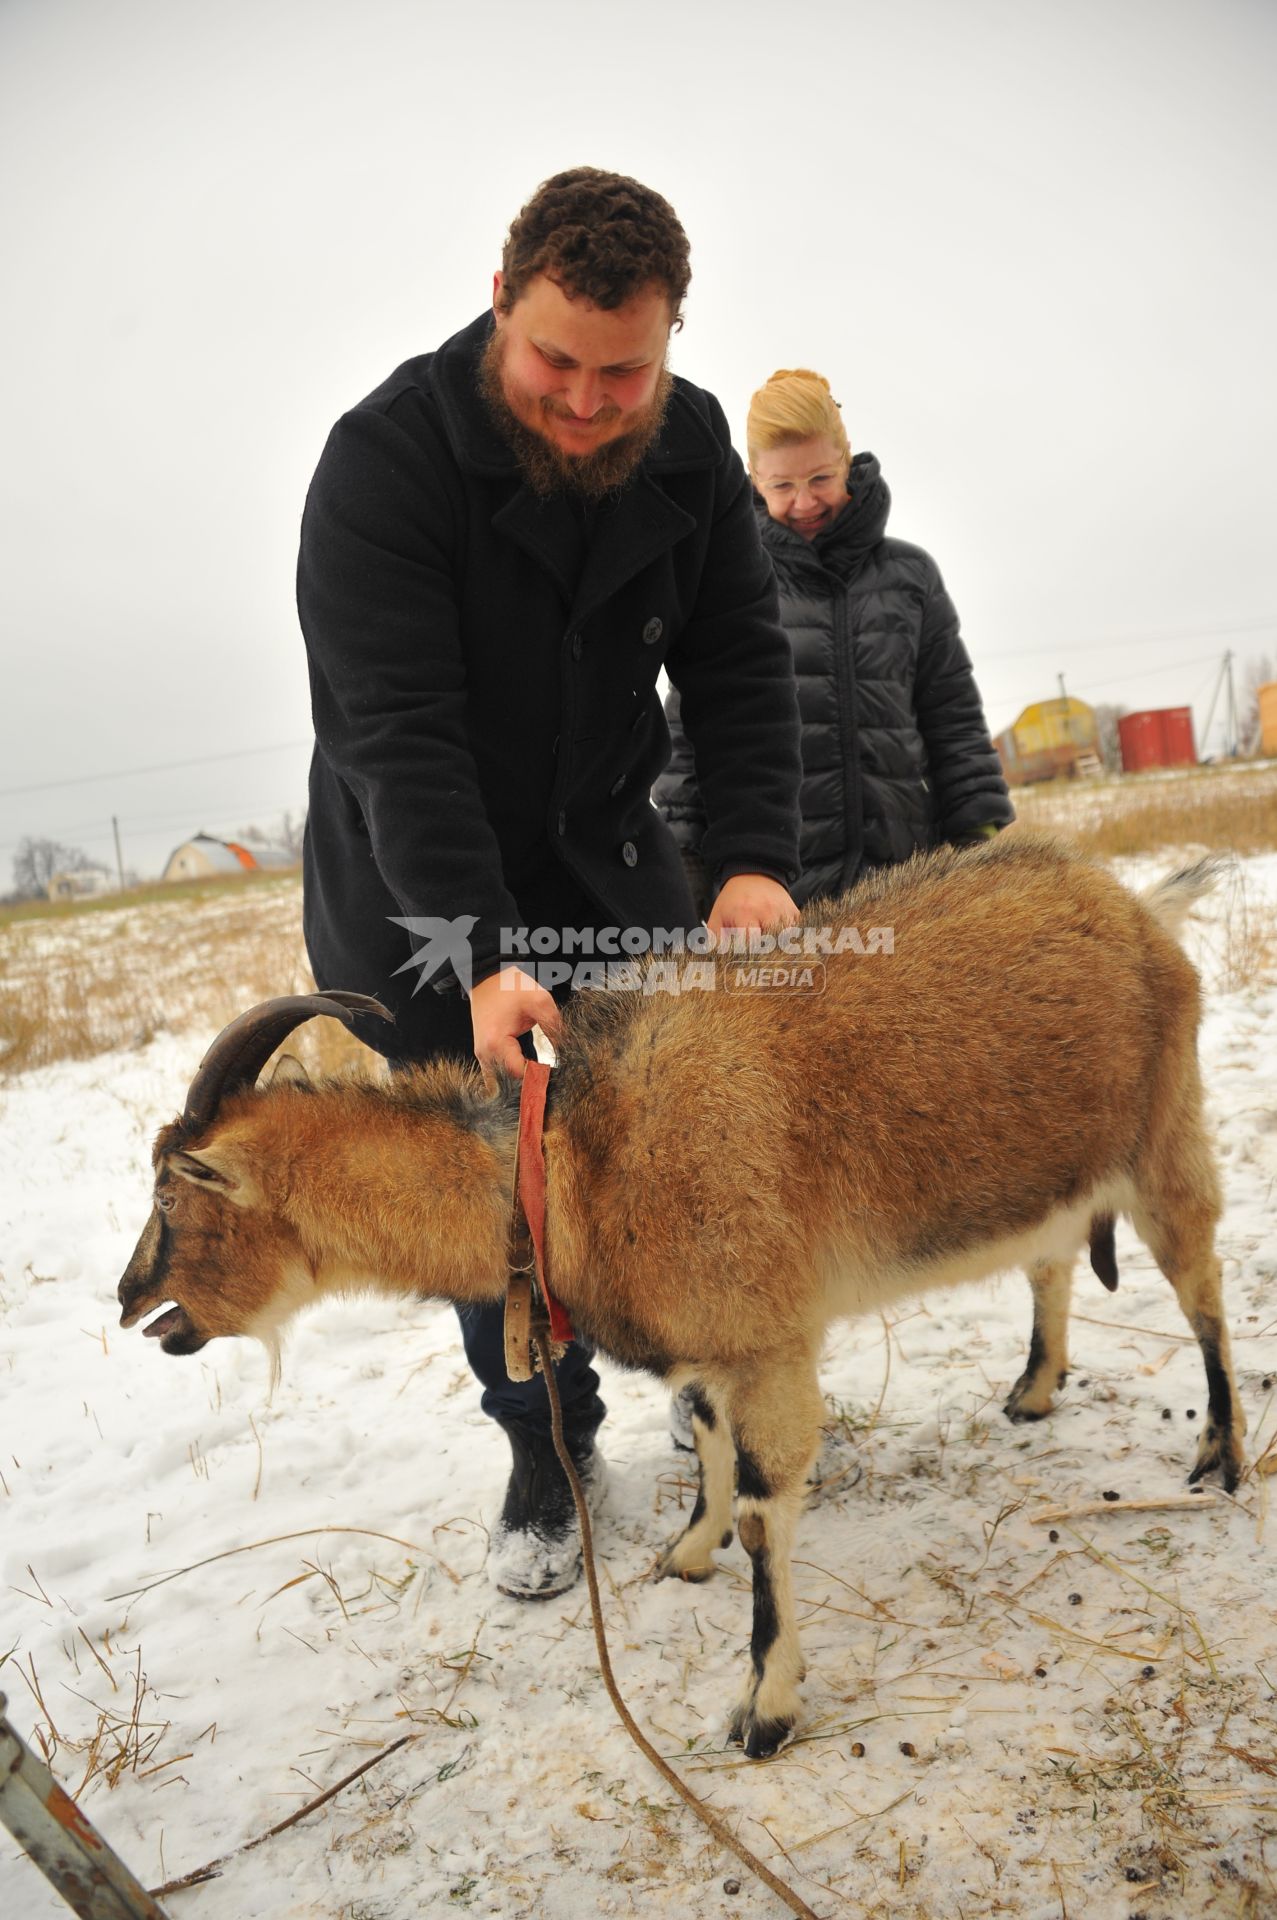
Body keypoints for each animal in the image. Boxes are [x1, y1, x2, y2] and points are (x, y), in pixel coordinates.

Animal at [117, 840, 1236, 1758]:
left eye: (170, 1195)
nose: (132, 1302)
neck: (573, 1161)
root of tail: (1138, 903)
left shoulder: (768, 1341)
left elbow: (761, 1511)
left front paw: (763, 1709)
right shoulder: (709, 1347)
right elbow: (703, 1443)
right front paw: (684, 1555)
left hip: (1163, 1133)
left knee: (1201, 1291)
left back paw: (1217, 1456)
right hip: (1054, 1169)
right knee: (1050, 1261)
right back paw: (1033, 1390)